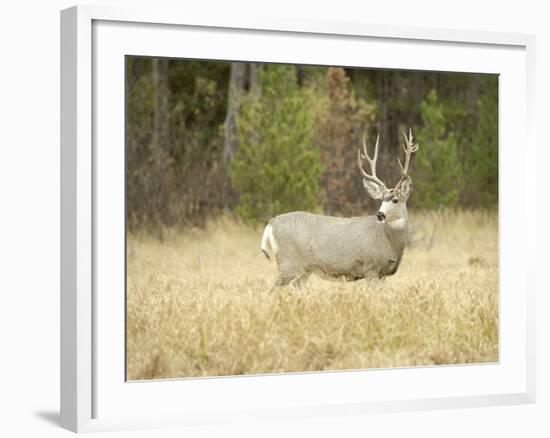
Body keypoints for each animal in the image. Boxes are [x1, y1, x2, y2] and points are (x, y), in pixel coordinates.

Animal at [260, 128, 420, 292]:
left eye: (395, 200)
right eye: (381, 200)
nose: (380, 214)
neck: (390, 241)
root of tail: (272, 223)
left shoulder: (384, 275)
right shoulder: (371, 267)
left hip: (304, 270)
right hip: (288, 263)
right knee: (270, 292)